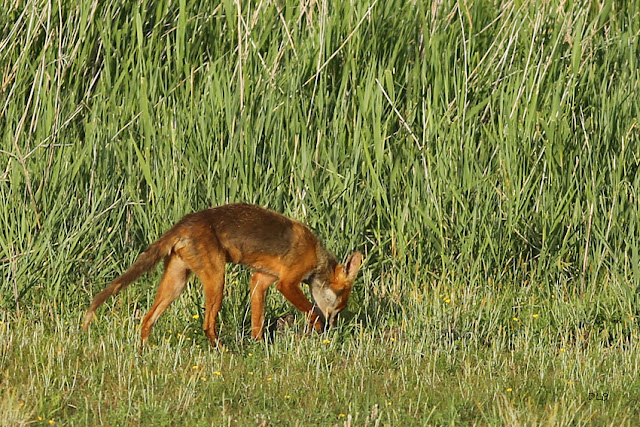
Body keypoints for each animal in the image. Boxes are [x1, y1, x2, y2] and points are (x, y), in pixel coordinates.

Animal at [82, 203, 362, 346]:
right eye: (339, 306)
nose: (333, 329)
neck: (316, 255)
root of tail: (184, 223)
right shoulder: (286, 283)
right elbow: (312, 311)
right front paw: (317, 330)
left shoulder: (261, 280)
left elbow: (257, 321)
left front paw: (257, 346)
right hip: (217, 279)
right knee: (207, 324)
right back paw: (220, 350)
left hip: (176, 283)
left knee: (148, 318)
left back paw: (143, 349)